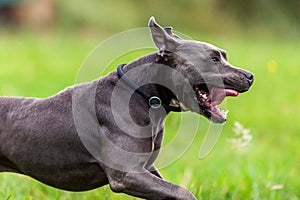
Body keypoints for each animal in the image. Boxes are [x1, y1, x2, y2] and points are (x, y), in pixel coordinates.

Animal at [0, 17, 253, 200]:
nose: (250, 76)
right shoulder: (127, 174)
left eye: (224, 56)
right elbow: (184, 192)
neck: (147, 96)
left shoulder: (147, 169)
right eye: (213, 59)